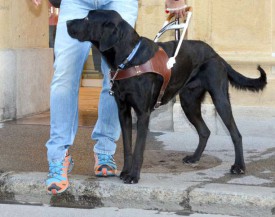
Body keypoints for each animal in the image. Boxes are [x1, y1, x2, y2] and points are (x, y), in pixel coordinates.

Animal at [67, 9, 268, 183]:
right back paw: (194, 158)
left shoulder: (143, 114)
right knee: (205, 131)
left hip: (220, 99)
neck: (129, 58)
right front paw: (125, 171)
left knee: (236, 134)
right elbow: (127, 147)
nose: (67, 22)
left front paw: (133, 176)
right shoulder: (123, 112)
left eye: (87, 18)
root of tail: (216, 53)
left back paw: (239, 166)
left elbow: (138, 148)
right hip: (188, 102)